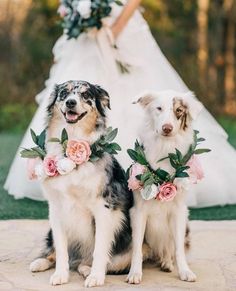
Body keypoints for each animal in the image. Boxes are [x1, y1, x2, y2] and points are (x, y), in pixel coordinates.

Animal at [30, 81, 135, 288]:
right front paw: (60, 275)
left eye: (86, 94)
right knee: (54, 250)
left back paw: (87, 269)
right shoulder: (56, 209)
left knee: (103, 262)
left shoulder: (104, 209)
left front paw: (96, 277)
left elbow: (100, 249)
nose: (71, 102)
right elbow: (61, 249)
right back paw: (40, 262)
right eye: (64, 93)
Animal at [127, 90, 203, 286]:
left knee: (169, 247)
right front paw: (135, 272)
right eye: (159, 108)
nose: (167, 128)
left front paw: (184, 271)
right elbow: (137, 248)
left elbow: (179, 249)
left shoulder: (179, 211)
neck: (164, 148)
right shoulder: (138, 212)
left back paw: (167, 262)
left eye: (179, 111)